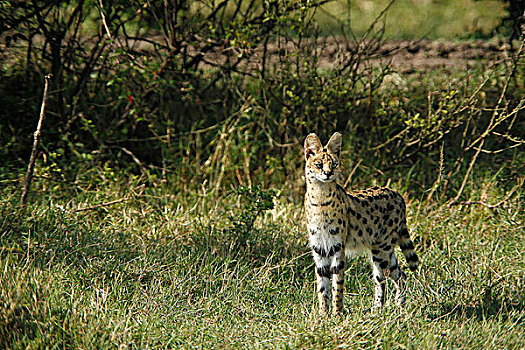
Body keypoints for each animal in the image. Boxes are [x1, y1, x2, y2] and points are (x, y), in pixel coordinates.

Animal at [302, 131, 418, 314]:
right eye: (319, 164)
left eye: (334, 164)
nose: (328, 173)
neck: (320, 199)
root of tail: (398, 195)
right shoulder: (319, 248)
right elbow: (322, 286)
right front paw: (322, 315)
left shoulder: (337, 247)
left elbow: (337, 285)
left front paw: (337, 314)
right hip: (381, 250)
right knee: (392, 276)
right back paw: (382, 310)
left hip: (382, 249)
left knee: (393, 276)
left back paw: (396, 308)